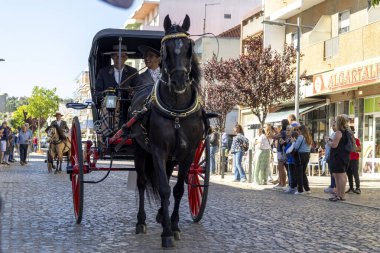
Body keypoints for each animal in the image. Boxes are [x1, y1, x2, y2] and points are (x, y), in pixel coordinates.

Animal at [131, 14, 208, 248]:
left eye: (189, 47)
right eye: (165, 48)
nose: (180, 80)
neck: (177, 111)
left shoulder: (188, 153)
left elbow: (178, 189)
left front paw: (173, 226)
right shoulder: (158, 150)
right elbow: (164, 189)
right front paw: (166, 234)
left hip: (172, 158)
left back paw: (159, 216)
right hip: (140, 151)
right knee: (142, 183)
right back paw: (141, 222)